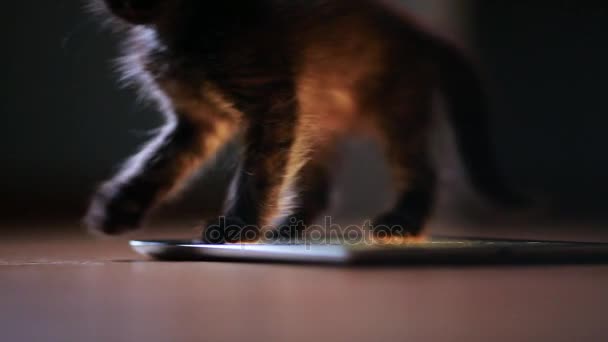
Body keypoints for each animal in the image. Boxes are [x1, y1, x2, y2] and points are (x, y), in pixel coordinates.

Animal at [83, 0, 516, 243]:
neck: (177, 29)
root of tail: (420, 30)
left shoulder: (270, 98)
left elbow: (257, 171)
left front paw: (237, 226)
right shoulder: (197, 120)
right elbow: (159, 162)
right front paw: (120, 206)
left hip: (398, 108)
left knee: (420, 170)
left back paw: (402, 221)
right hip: (317, 121)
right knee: (317, 186)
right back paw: (286, 228)